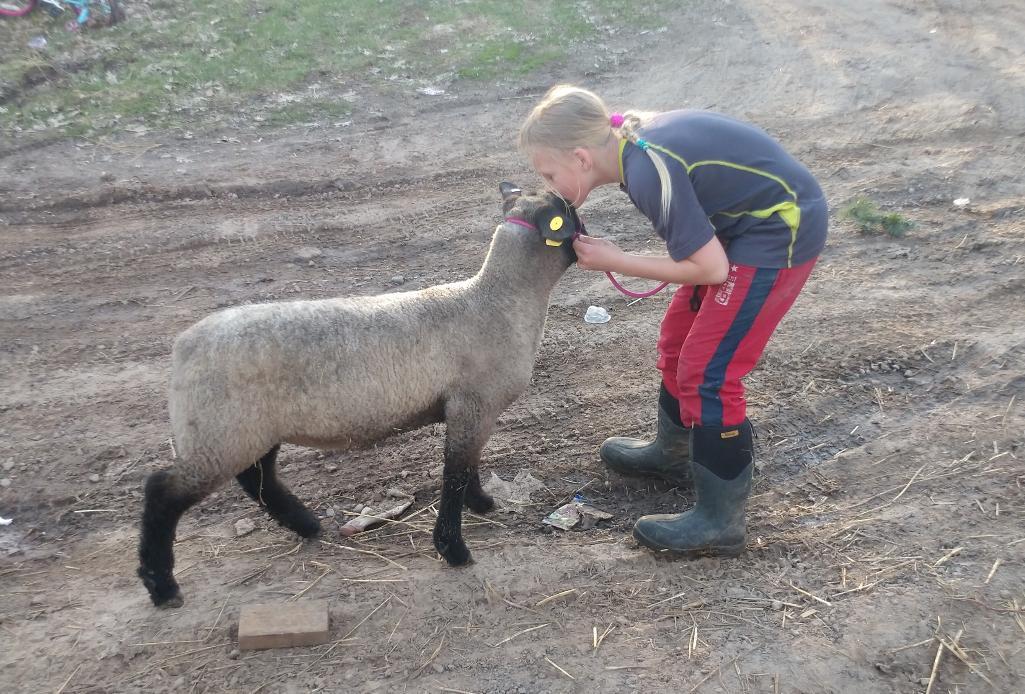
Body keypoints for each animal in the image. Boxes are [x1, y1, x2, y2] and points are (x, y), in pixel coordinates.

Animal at [138, 182, 586, 606]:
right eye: (571, 215)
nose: (589, 235)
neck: (498, 300)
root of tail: (183, 346)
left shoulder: (471, 410)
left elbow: (468, 467)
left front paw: (481, 504)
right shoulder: (472, 404)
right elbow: (455, 474)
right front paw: (453, 549)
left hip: (250, 429)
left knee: (256, 477)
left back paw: (305, 524)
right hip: (219, 433)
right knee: (163, 492)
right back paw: (162, 585)